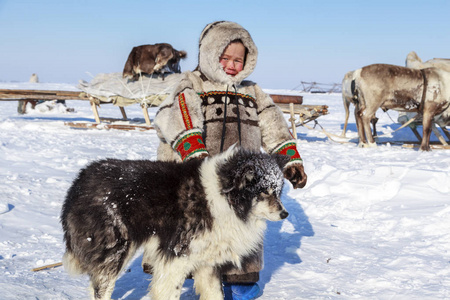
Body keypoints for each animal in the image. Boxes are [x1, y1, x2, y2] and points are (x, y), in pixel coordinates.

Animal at [59, 148, 290, 300]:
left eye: (278, 191)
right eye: (264, 191)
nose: (284, 213)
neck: (223, 198)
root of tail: (78, 183)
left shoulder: (206, 263)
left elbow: (215, 293)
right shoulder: (175, 257)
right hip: (116, 250)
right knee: (102, 289)